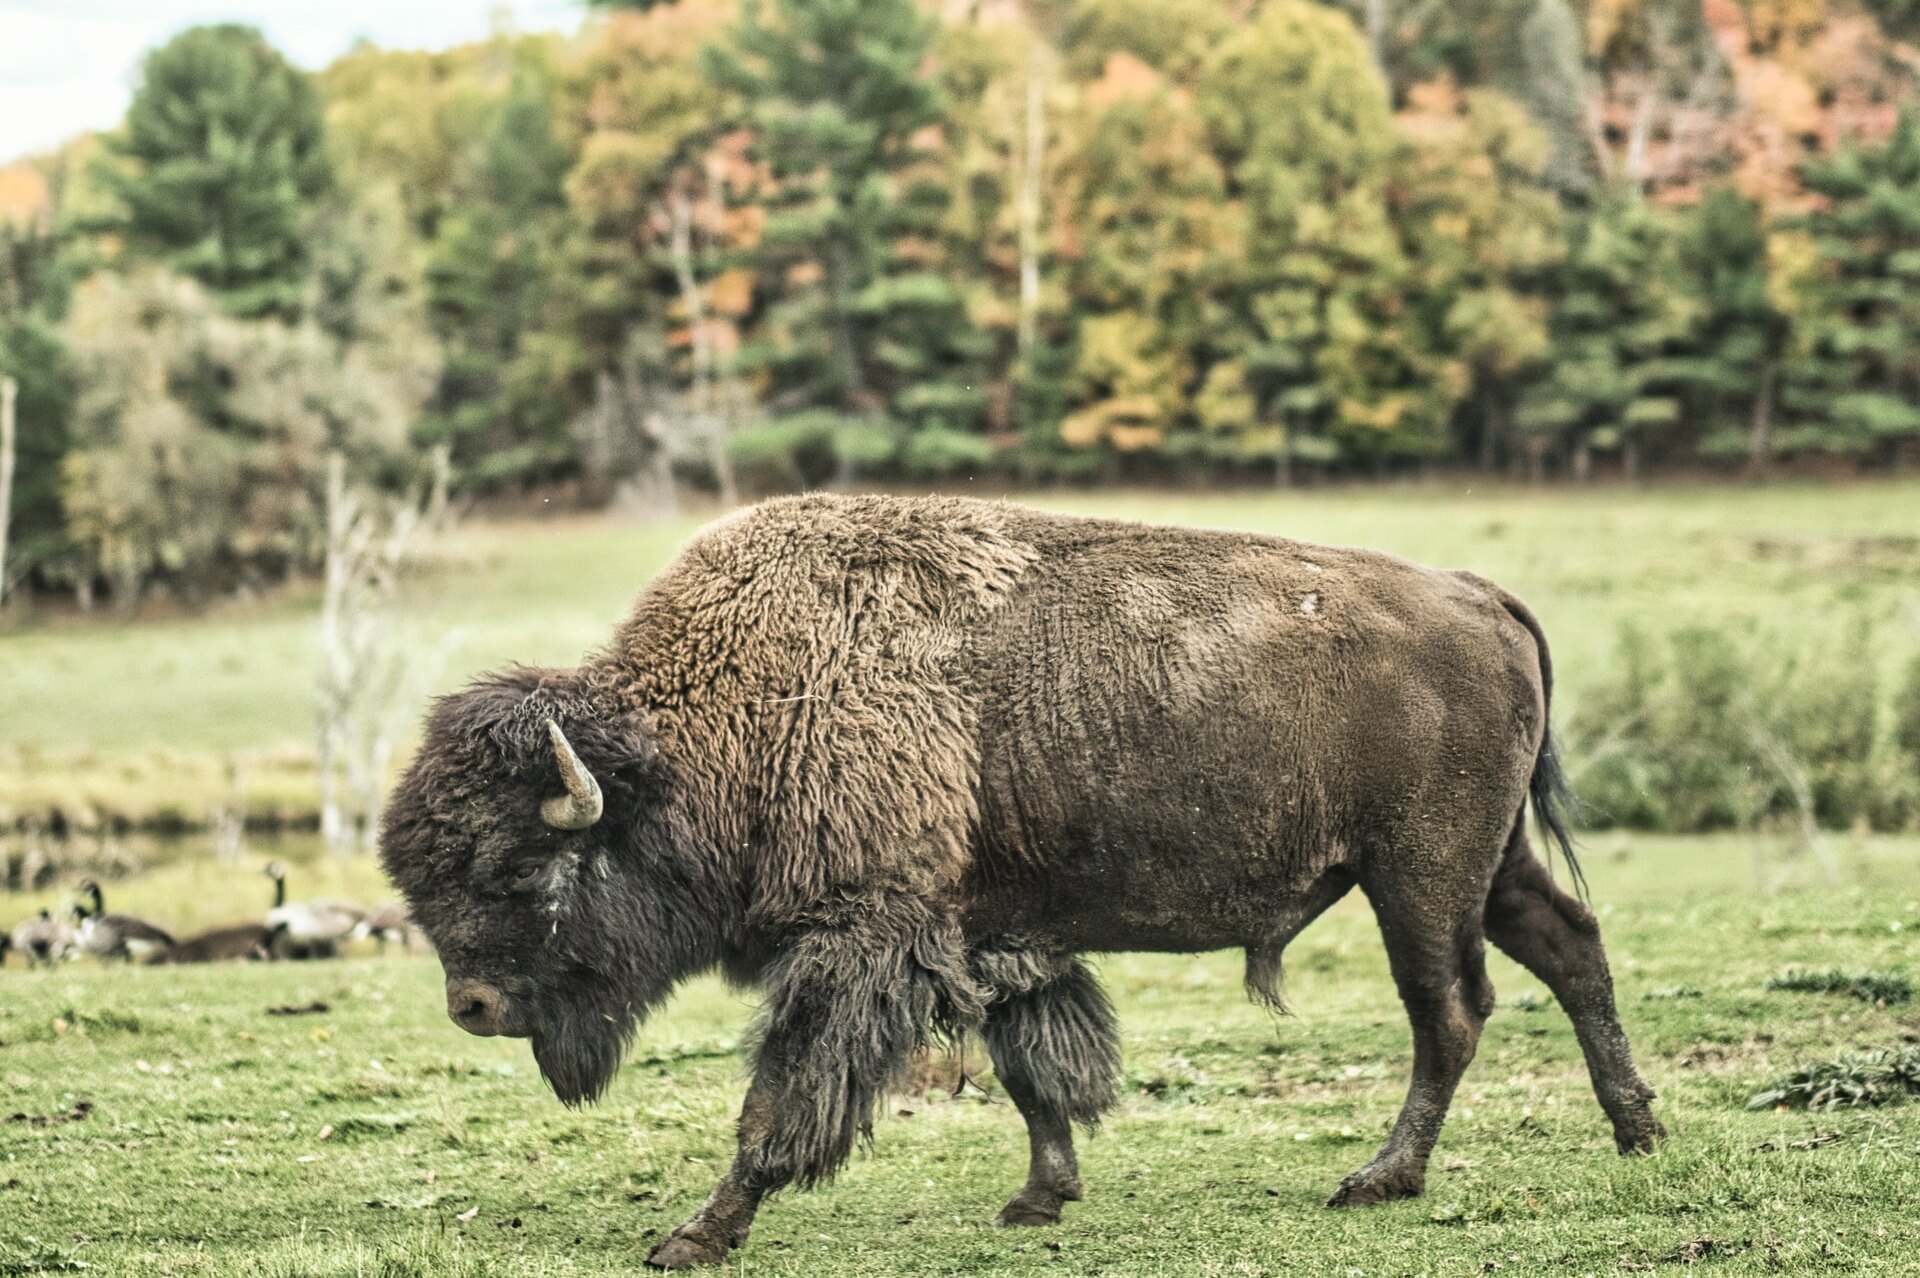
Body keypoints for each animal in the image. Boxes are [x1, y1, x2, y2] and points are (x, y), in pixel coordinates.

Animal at [382, 489, 1658, 1266]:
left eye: (522, 864)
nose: (471, 1006)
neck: (724, 720)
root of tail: (1476, 592)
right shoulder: (989, 932)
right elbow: (1033, 1066)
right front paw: (1040, 1196)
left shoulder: (861, 939)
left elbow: (785, 1095)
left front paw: (693, 1236)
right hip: (1487, 863)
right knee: (1573, 947)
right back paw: (1636, 1131)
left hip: (1421, 876)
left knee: (1453, 1010)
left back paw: (1379, 1179)